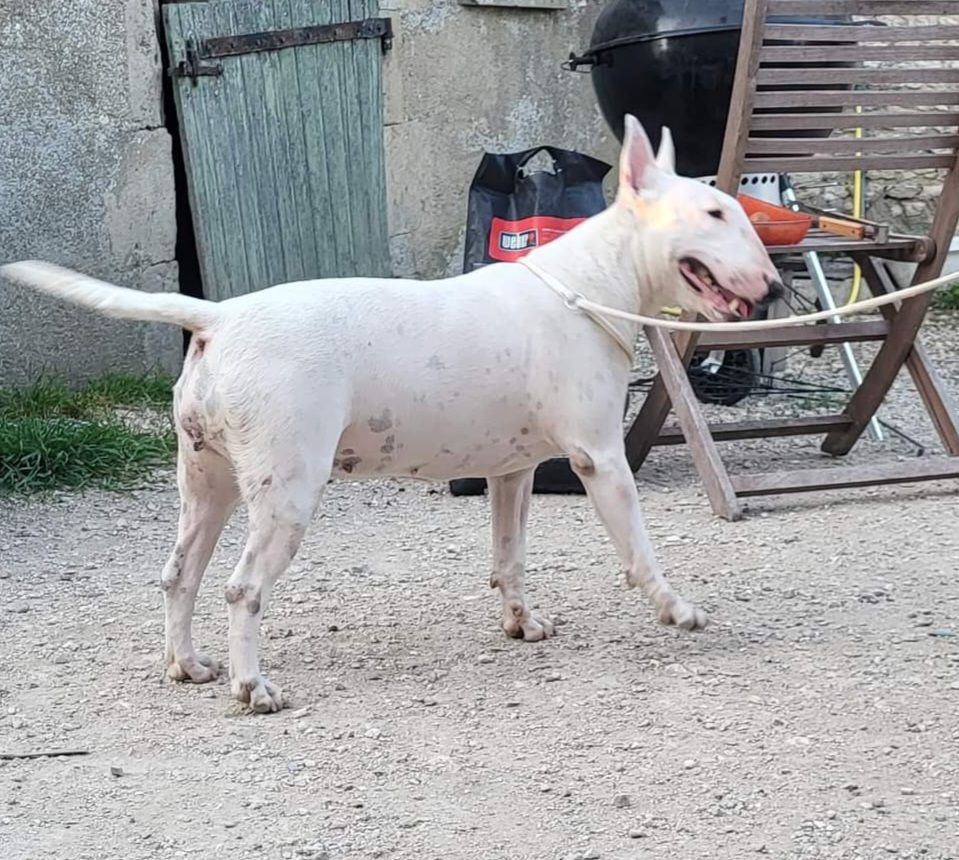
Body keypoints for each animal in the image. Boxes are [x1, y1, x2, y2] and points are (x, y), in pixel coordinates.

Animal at [3, 116, 780, 712]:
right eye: (715, 214)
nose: (773, 289)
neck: (587, 283)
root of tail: (219, 316)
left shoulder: (513, 471)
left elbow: (509, 555)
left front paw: (521, 622)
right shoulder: (601, 459)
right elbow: (639, 551)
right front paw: (676, 609)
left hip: (208, 482)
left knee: (179, 574)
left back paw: (188, 665)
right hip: (285, 492)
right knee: (241, 587)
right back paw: (253, 687)